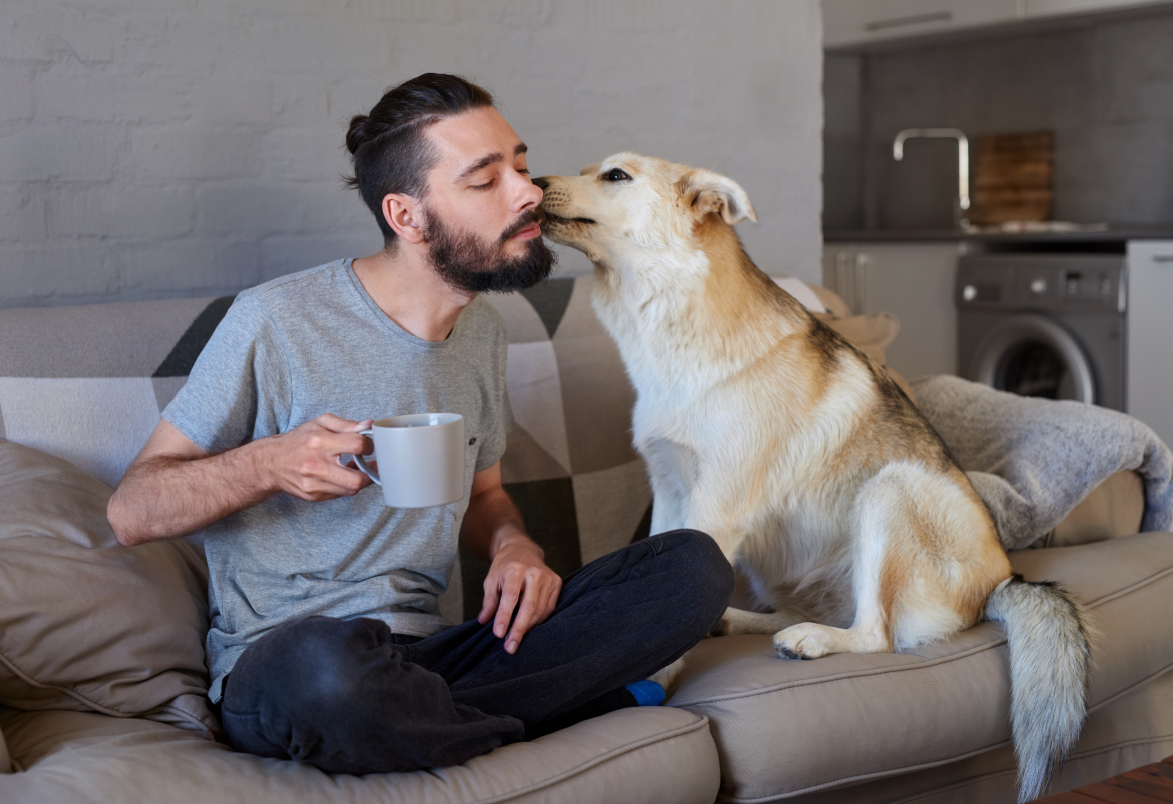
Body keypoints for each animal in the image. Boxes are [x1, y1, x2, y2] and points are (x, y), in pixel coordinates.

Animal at [537, 153, 1093, 798]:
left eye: (616, 176)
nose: (532, 183)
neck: (674, 319)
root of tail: (1005, 580)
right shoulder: (670, 493)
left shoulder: (713, 508)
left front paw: (655, 679)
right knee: (807, 612)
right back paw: (740, 621)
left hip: (888, 489)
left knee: (875, 635)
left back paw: (814, 640)